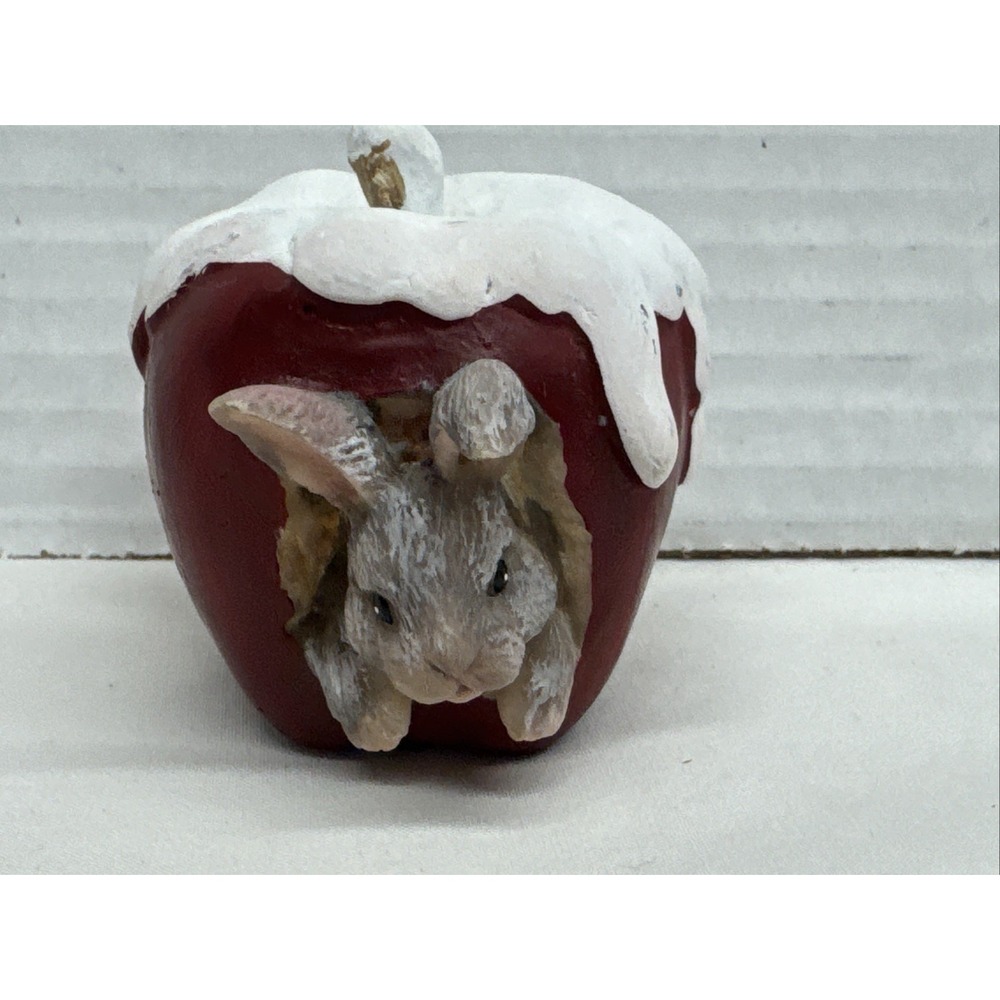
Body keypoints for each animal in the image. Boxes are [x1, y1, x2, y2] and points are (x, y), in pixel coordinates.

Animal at [209, 359, 580, 752]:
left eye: (501, 577)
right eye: (380, 608)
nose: (455, 669)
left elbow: (554, 642)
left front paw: (535, 719)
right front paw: (379, 730)